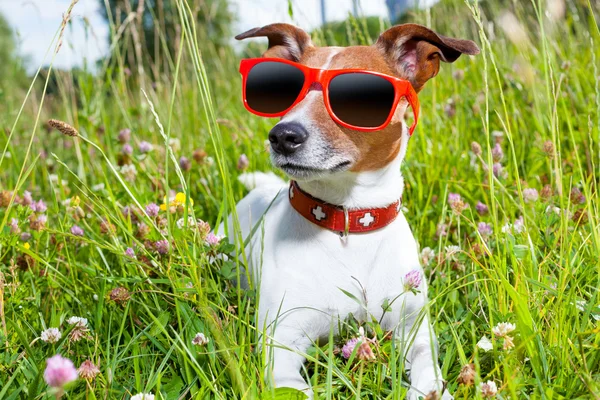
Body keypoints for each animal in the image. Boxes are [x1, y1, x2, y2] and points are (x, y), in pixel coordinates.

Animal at [224, 23, 478, 398]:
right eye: (285, 91)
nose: (282, 135)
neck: (348, 223)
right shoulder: (282, 345)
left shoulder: (414, 329)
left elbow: (428, 374)